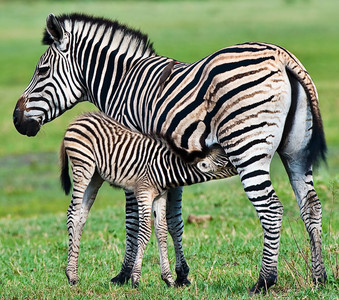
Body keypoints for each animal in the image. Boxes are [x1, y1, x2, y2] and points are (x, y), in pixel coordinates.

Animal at [60, 111, 236, 288]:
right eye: (228, 162)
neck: (167, 167)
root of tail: (79, 118)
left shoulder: (160, 195)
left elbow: (161, 230)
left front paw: (168, 279)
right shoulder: (144, 193)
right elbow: (144, 231)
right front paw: (135, 278)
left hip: (95, 175)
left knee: (82, 215)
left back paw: (73, 271)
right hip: (83, 167)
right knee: (73, 214)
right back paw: (71, 275)